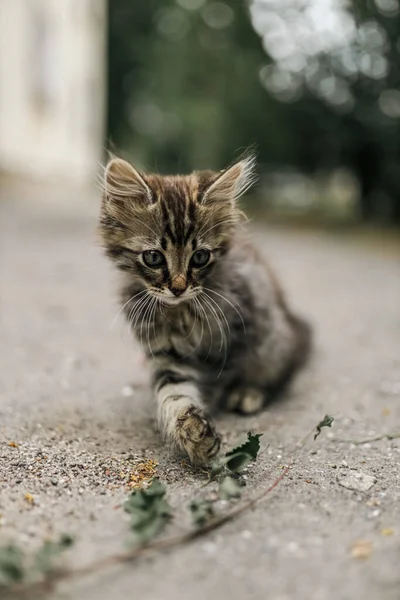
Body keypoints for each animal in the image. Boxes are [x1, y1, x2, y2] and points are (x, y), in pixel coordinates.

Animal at [98, 155, 310, 464]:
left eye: (200, 257)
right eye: (153, 258)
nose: (178, 287)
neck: (179, 311)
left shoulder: (238, 330)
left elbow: (221, 376)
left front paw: (215, 404)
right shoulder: (165, 351)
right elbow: (173, 391)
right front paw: (191, 432)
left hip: (274, 338)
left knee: (280, 374)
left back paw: (249, 393)